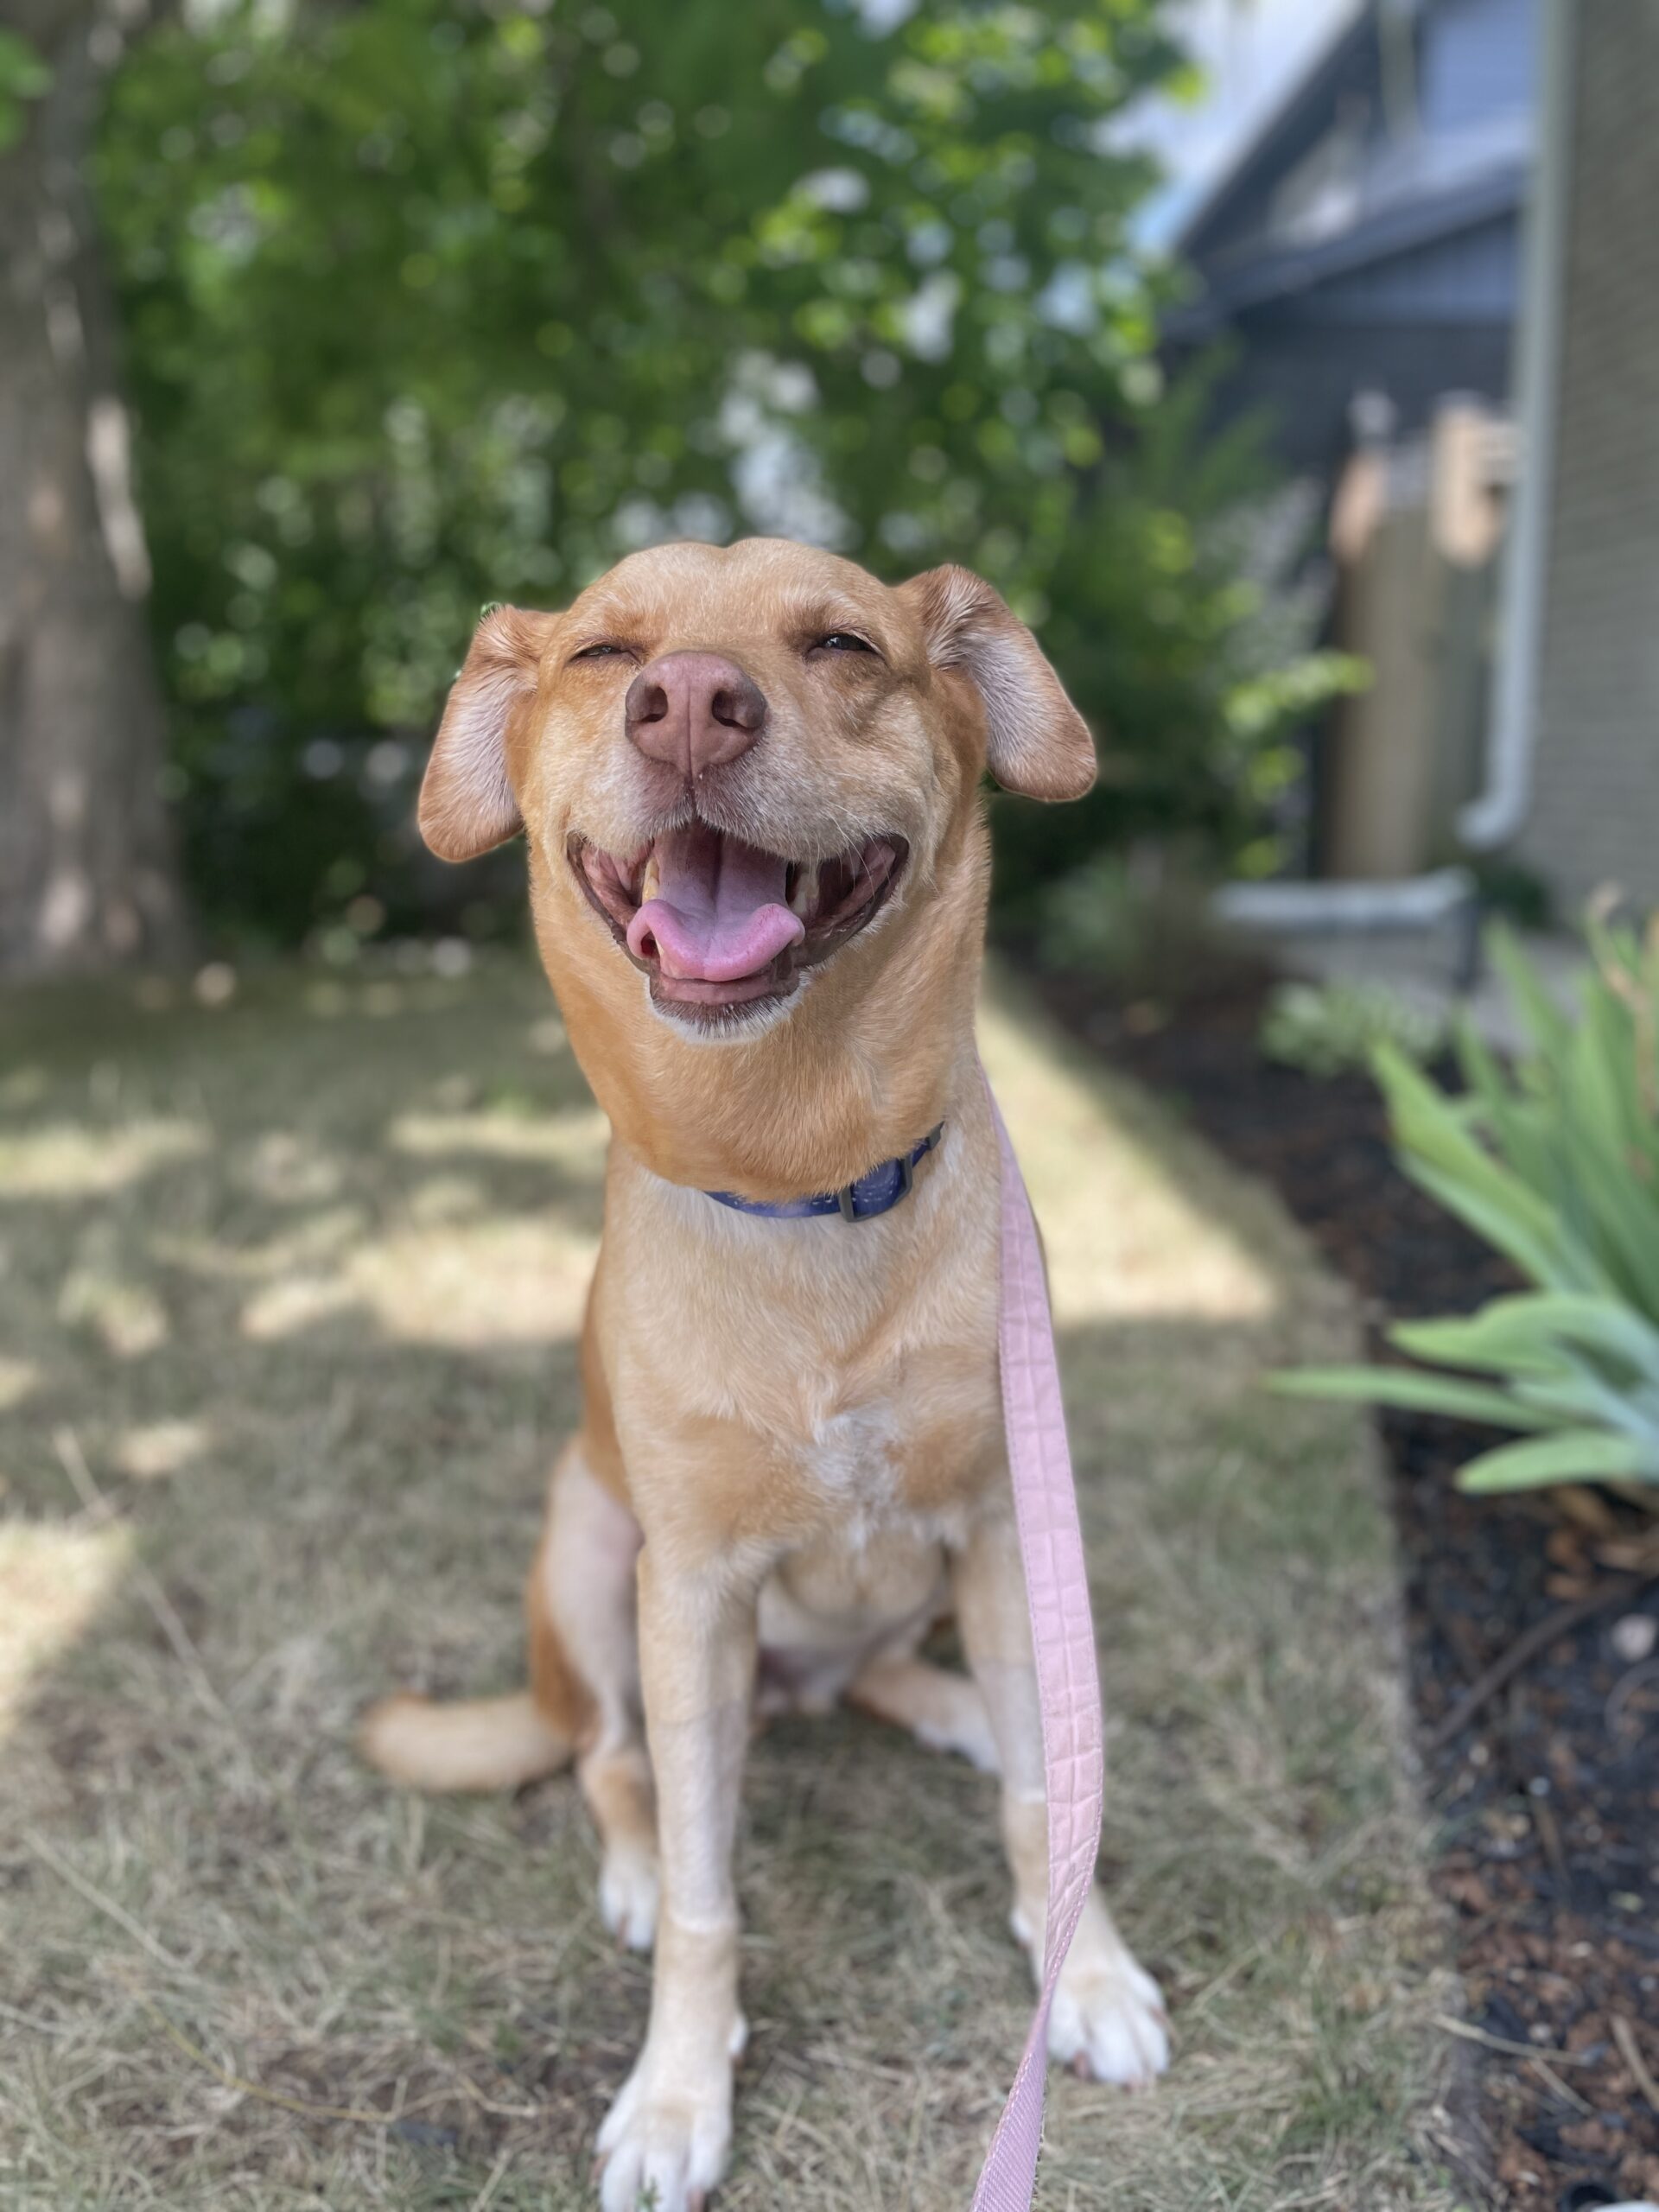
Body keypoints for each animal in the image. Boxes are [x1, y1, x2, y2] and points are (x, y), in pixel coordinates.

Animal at [363, 537, 1169, 2211]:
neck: (802, 1180)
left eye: (843, 644)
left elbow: (1049, 1794)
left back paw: (947, 1704)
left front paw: (1088, 1975)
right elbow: (704, 1890)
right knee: (608, 1761)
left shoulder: (1007, 1532)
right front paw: (681, 2091)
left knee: (877, 1680)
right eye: (605, 653)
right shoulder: (691, 1588)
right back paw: (630, 1859)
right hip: (590, 1555)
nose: (688, 706)